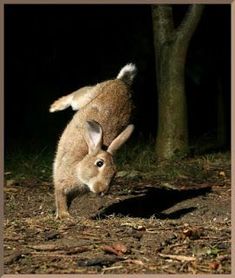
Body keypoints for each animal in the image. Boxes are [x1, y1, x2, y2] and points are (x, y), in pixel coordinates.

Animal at [51, 63, 136, 219]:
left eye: (115, 171)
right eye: (99, 163)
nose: (102, 190)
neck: (78, 168)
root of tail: (121, 83)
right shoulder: (60, 183)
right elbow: (60, 198)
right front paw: (64, 216)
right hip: (84, 98)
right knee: (77, 94)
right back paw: (54, 106)